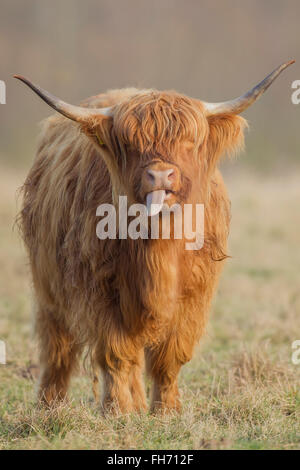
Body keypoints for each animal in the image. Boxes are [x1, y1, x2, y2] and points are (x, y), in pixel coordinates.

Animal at [15, 60, 294, 414]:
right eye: (130, 144)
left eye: (190, 142)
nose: (160, 174)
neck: (159, 250)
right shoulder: (99, 290)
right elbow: (116, 354)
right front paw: (118, 411)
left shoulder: (194, 295)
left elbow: (169, 358)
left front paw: (166, 411)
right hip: (48, 288)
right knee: (58, 350)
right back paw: (50, 405)